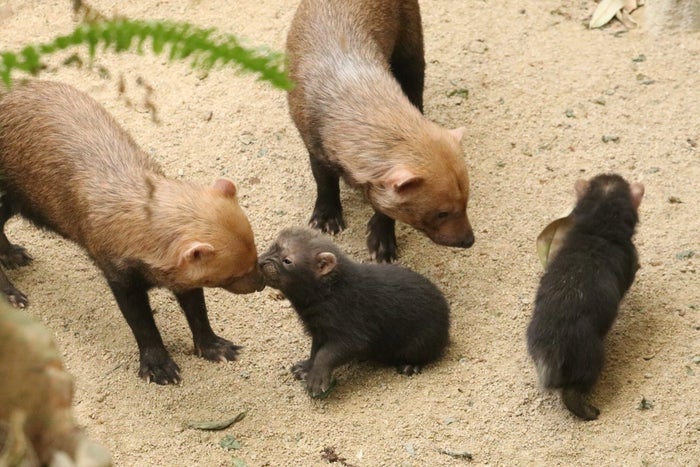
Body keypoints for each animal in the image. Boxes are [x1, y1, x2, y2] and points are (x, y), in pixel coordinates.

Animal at [0, 80, 266, 386]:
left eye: (256, 255)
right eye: (233, 274)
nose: (262, 281)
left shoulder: (183, 280)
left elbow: (198, 312)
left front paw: (215, 347)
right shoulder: (120, 278)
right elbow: (142, 325)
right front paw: (159, 366)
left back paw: (12, 254)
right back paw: (12, 293)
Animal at [260, 227, 452, 398]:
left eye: (287, 260)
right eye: (272, 246)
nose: (260, 262)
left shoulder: (352, 332)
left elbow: (325, 355)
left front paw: (317, 379)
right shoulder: (319, 331)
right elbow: (315, 351)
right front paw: (305, 368)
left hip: (420, 342)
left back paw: (409, 366)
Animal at [286, 0, 476, 264]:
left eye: (466, 200)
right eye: (442, 212)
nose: (469, 240)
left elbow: (384, 207)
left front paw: (383, 242)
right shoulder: (315, 147)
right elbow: (324, 182)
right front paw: (326, 219)